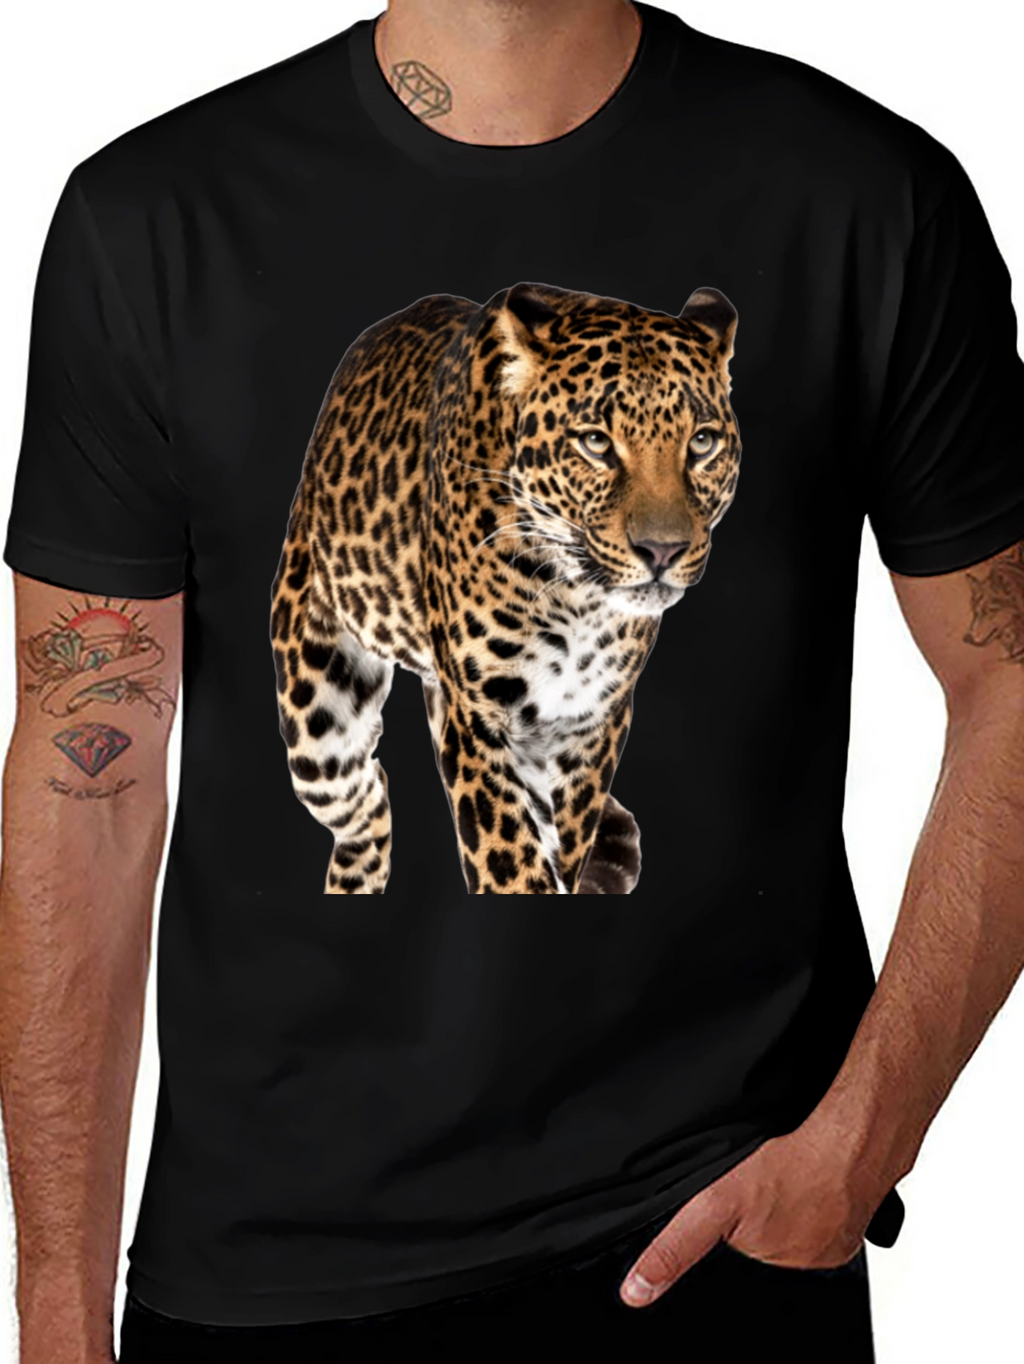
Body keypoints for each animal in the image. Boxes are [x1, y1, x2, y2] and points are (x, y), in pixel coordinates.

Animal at [270, 282, 740, 895]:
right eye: (596, 443)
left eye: (702, 443)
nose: (662, 552)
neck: (577, 598)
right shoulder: (479, 719)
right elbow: (510, 860)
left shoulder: (590, 723)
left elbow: (563, 843)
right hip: (318, 720)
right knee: (364, 802)